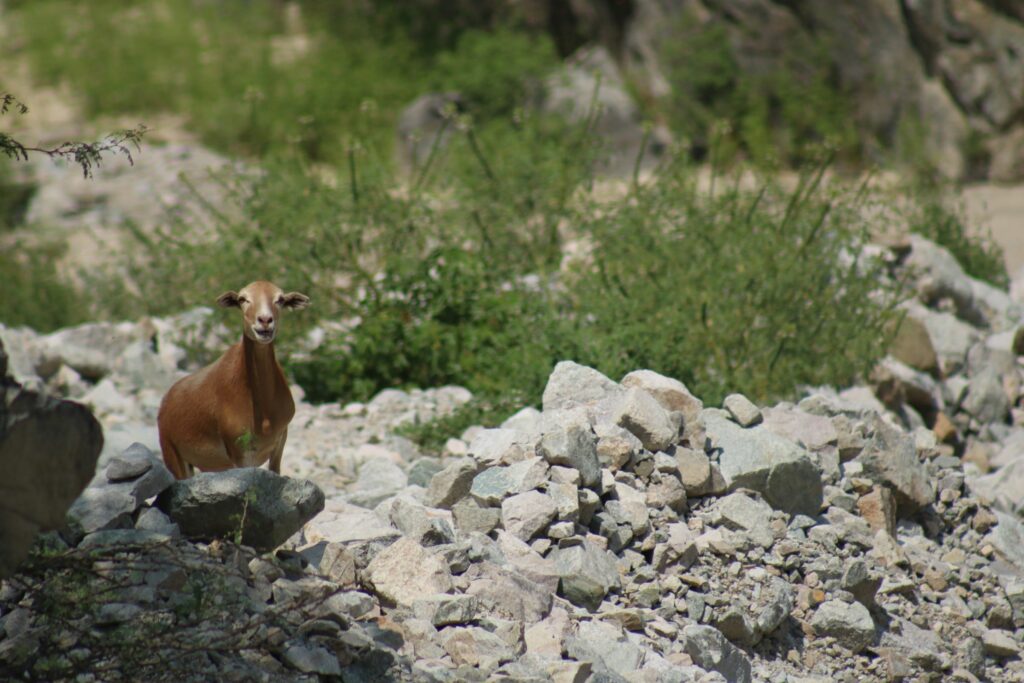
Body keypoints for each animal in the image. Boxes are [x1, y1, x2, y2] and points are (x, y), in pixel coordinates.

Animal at [157, 282, 309, 481]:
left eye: (280, 299)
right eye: (243, 299)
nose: (265, 320)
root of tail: (166, 402)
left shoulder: (280, 441)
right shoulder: (239, 453)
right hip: (172, 455)